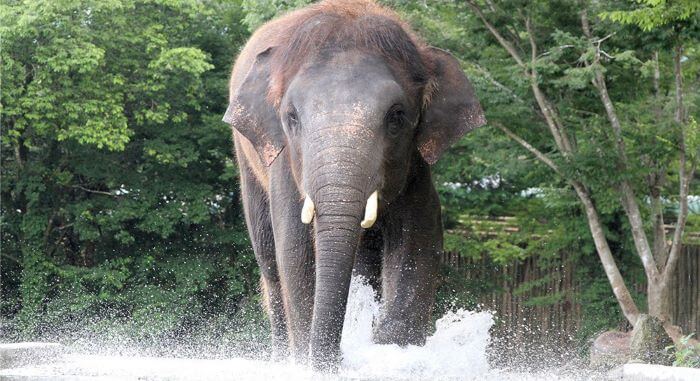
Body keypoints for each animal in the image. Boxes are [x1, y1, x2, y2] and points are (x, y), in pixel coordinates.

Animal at [221, 0, 484, 370]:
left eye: (397, 116)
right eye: (291, 118)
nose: (338, 359)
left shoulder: (416, 164)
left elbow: (420, 237)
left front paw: (392, 350)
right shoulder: (285, 163)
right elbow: (295, 248)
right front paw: (309, 360)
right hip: (248, 160)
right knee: (270, 260)